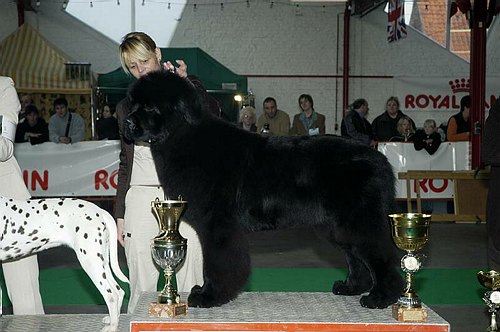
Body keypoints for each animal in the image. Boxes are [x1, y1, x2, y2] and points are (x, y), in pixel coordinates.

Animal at [125, 71, 402, 310]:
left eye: (149, 107)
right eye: (133, 104)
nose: (127, 122)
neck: (183, 135)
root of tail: (381, 159)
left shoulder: (218, 224)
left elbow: (216, 263)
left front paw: (209, 296)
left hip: (358, 220)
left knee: (381, 254)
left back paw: (381, 296)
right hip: (337, 226)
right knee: (355, 256)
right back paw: (351, 287)